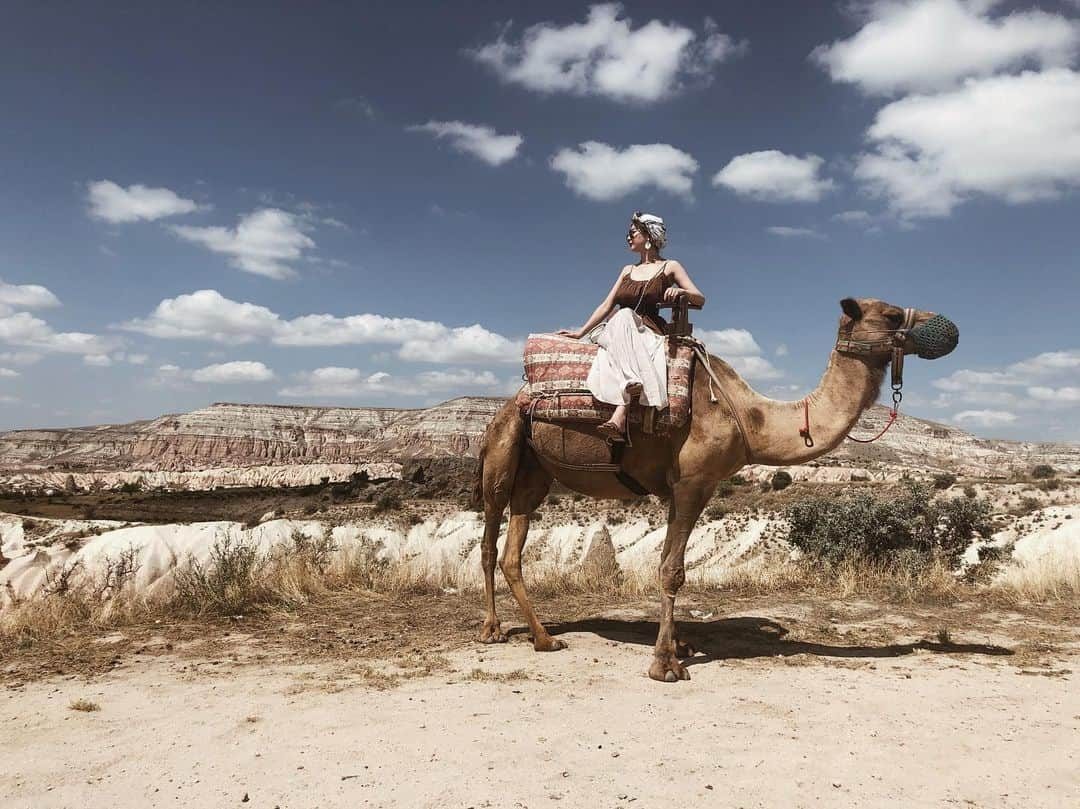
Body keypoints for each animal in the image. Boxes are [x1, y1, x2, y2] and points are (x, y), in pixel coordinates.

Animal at [468, 295, 959, 682]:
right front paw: (665, 665)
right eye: (892, 314)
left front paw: (679, 646)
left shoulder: (682, 489)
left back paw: (544, 638)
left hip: (536, 471)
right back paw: (494, 630)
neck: (750, 418)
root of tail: (513, 399)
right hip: (501, 452)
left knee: (512, 549)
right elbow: (672, 570)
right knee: (490, 541)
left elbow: (670, 563)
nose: (949, 327)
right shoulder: (693, 482)